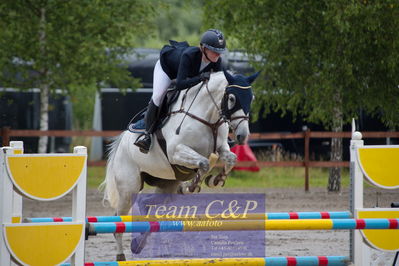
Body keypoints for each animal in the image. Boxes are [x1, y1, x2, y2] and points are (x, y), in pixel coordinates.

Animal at [101, 69, 260, 260]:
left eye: (251, 98)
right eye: (232, 98)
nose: (242, 136)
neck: (209, 119)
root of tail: (121, 143)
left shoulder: (222, 148)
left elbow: (231, 159)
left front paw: (216, 180)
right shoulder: (177, 151)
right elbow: (203, 163)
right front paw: (192, 185)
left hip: (166, 185)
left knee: (148, 205)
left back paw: (138, 243)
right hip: (128, 189)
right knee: (119, 220)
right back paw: (121, 256)